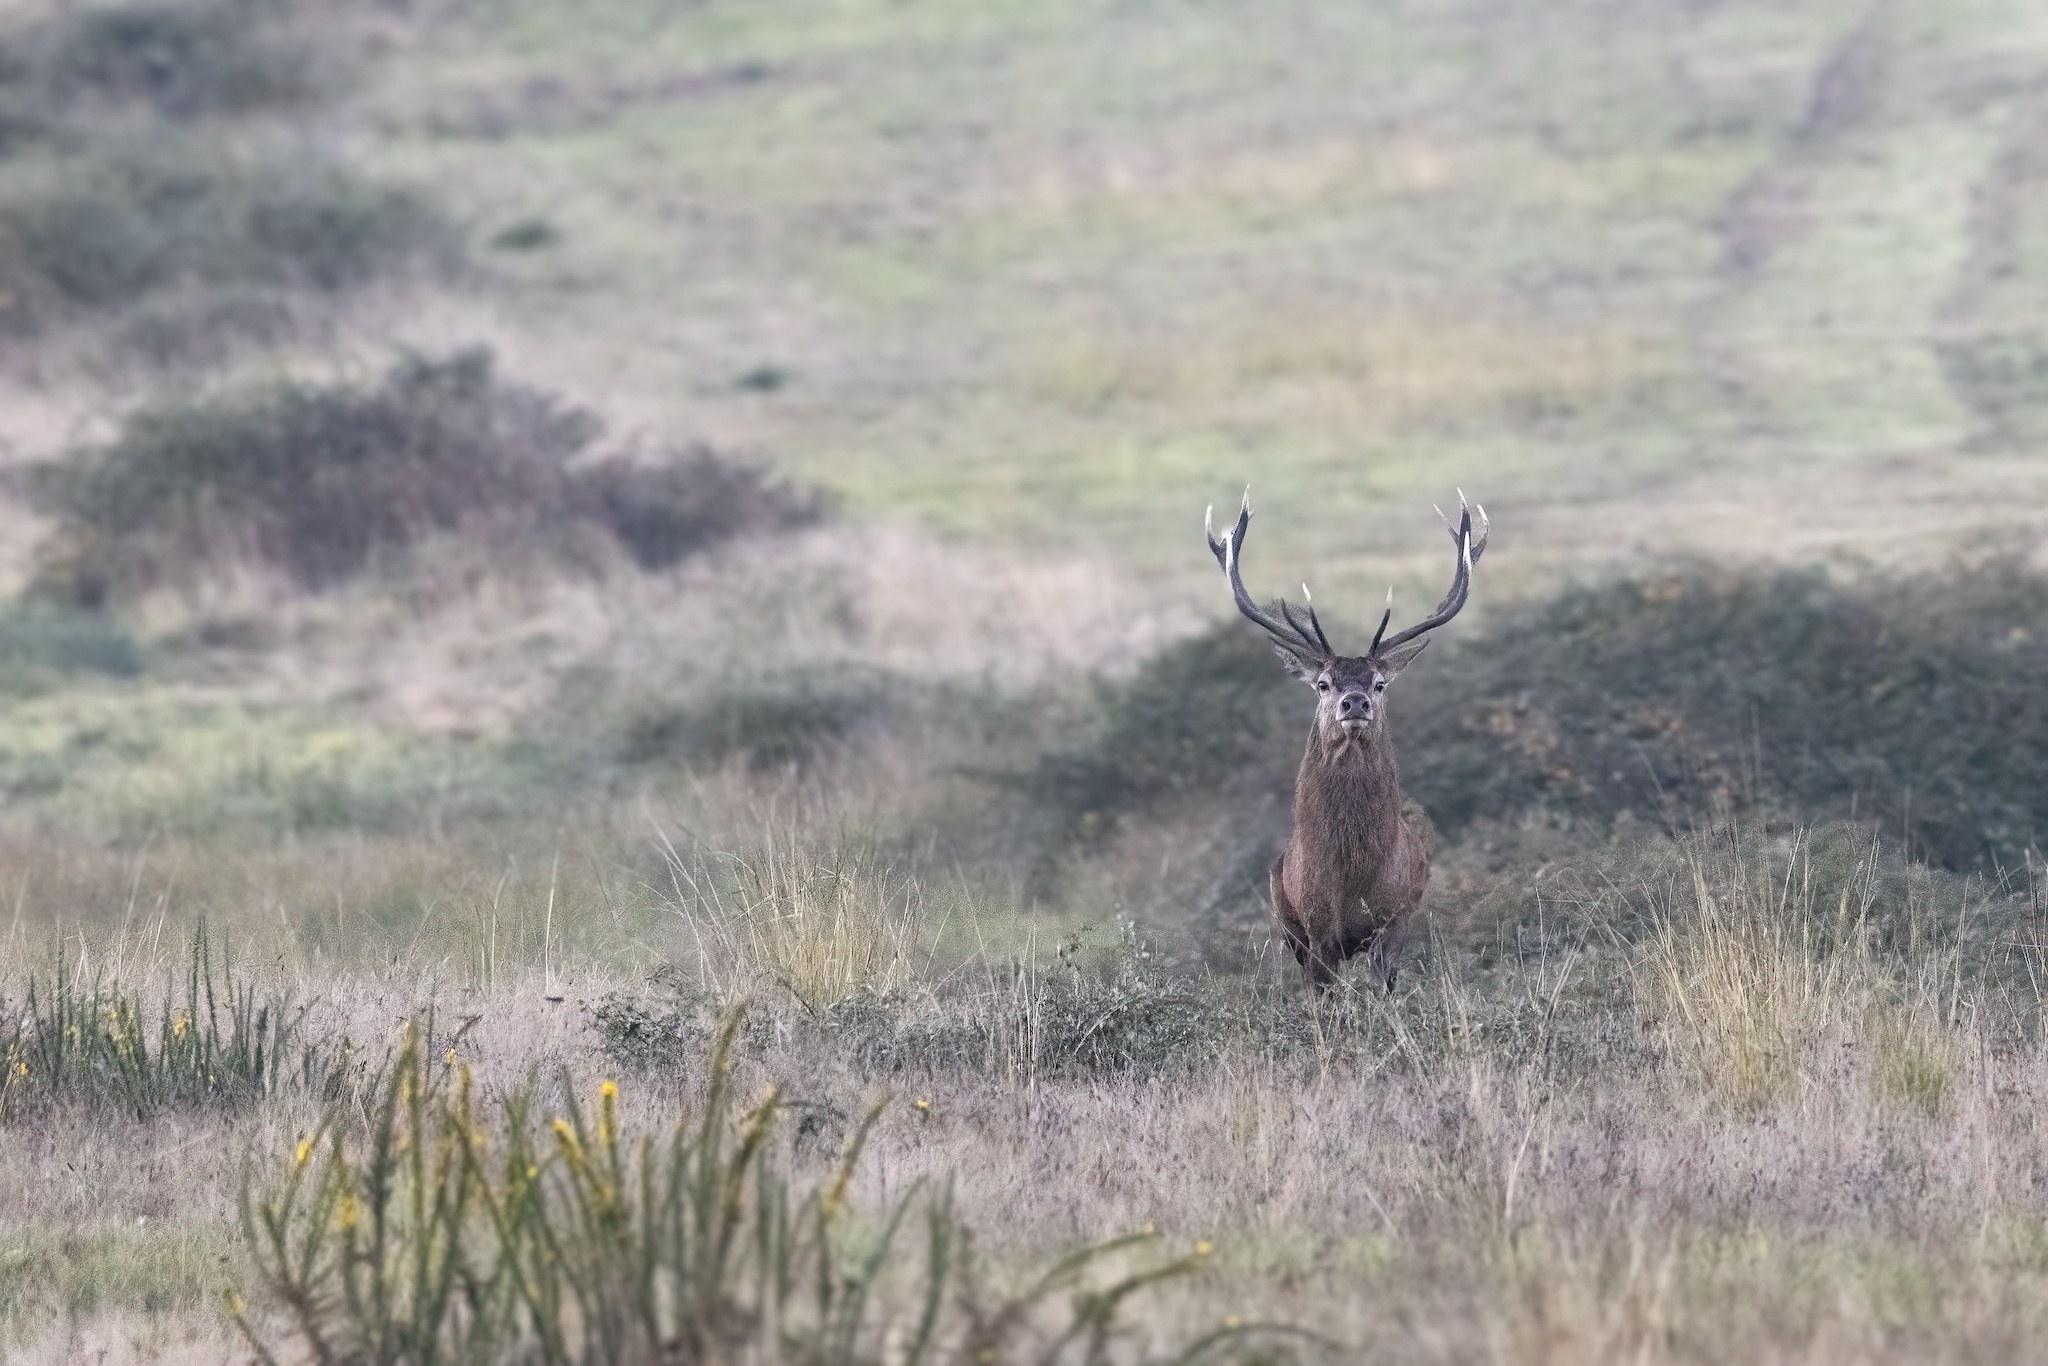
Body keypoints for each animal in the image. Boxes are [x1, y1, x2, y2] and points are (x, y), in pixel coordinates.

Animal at [1205, 489, 1488, 990]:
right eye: (1323, 684)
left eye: (1380, 683)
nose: (1354, 702)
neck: (1352, 878)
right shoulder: (1316, 930)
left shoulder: (1396, 918)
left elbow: (1383, 985)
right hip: (1286, 922)